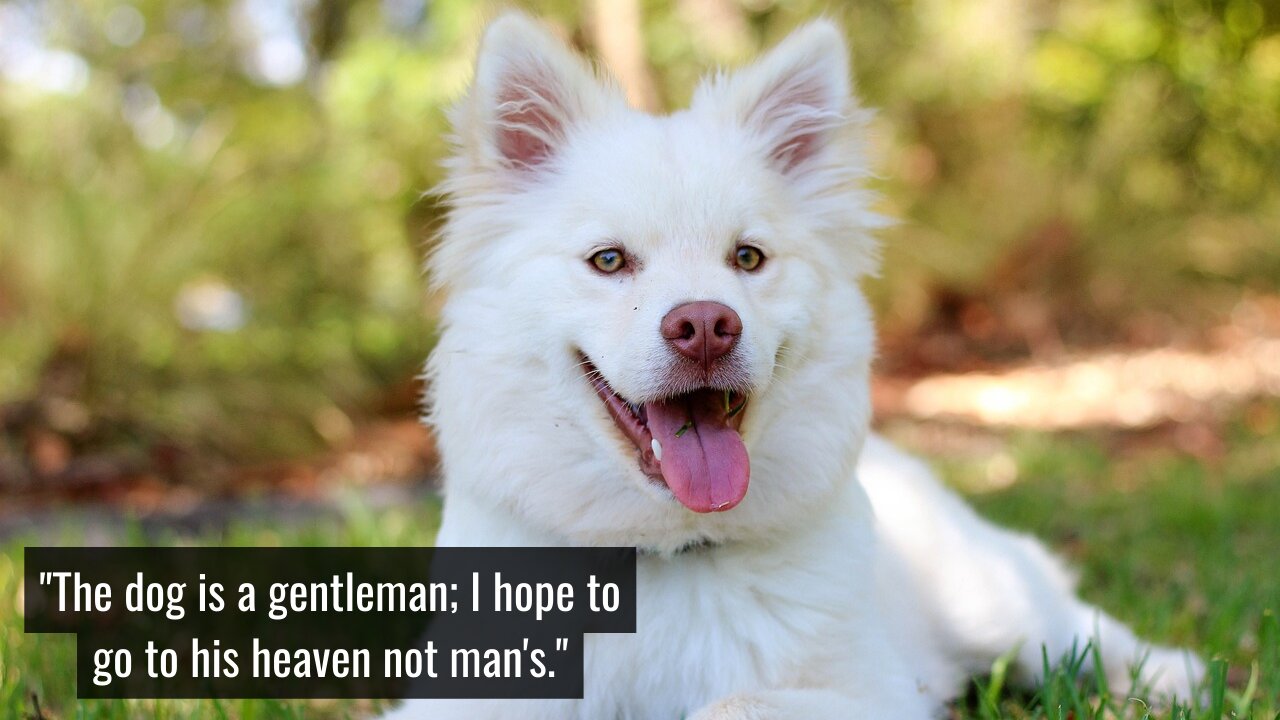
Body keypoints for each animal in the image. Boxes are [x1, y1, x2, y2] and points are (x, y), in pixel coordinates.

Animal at [384, 12, 1203, 717]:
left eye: (748, 257)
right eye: (608, 261)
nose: (705, 327)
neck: (665, 551)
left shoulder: (874, 692)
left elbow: (728, 704)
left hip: (998, 606)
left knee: (1084, 632)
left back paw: (1176, 676)